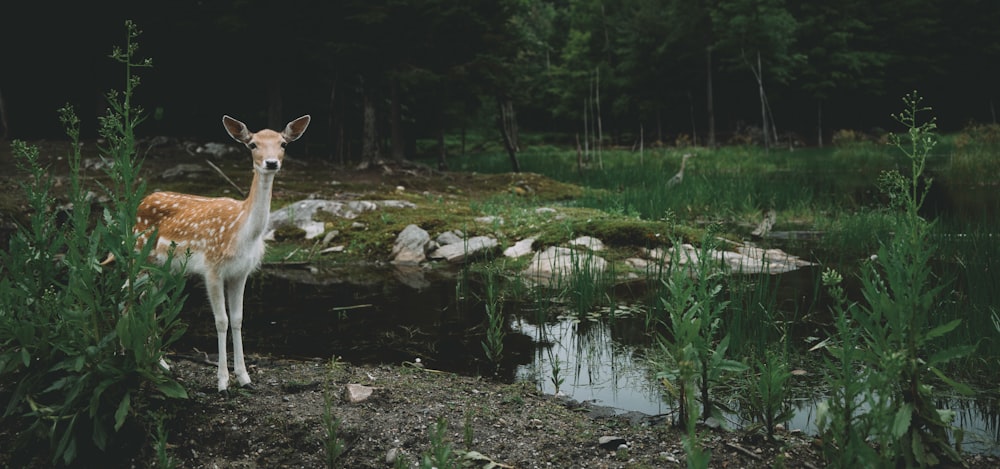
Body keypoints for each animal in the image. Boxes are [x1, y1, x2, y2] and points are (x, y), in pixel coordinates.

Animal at [131, 114, 308, 392]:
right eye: (252, 144)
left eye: (283, 143)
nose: (271, 163)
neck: (243, 233)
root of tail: (141, 202)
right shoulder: (212, 268)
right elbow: (221, 320)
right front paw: (223, 381)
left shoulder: (241, 272)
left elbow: (237, 319)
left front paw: (245, 378)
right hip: (140, 255)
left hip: (164, 269)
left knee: (150, 301)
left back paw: (160, 363)